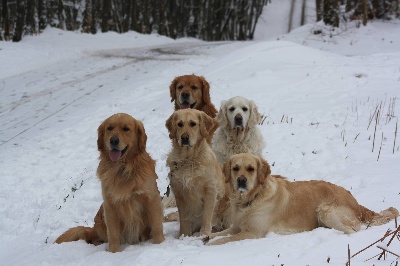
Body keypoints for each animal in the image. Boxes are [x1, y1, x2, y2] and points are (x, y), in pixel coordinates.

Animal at [54, 113, 164, 252]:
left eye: (126, 129)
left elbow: (156, 225)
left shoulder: (152, 199)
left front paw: (160, 244)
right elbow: (113, 234)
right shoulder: (110, 205)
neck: (122, 168)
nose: (113, 141)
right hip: (100, 220)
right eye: (109, 128)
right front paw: (113, 252)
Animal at [205, 153, 398, 246]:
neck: (251, 199)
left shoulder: (252, 232)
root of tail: (356, 202)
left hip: (326, 210)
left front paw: (211, 244)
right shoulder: (235, 227)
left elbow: (223, 240)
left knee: (352, 232)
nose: (241, 180)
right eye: (236, 168)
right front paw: (204, 237)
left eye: (251, 169)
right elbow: (216, 234)